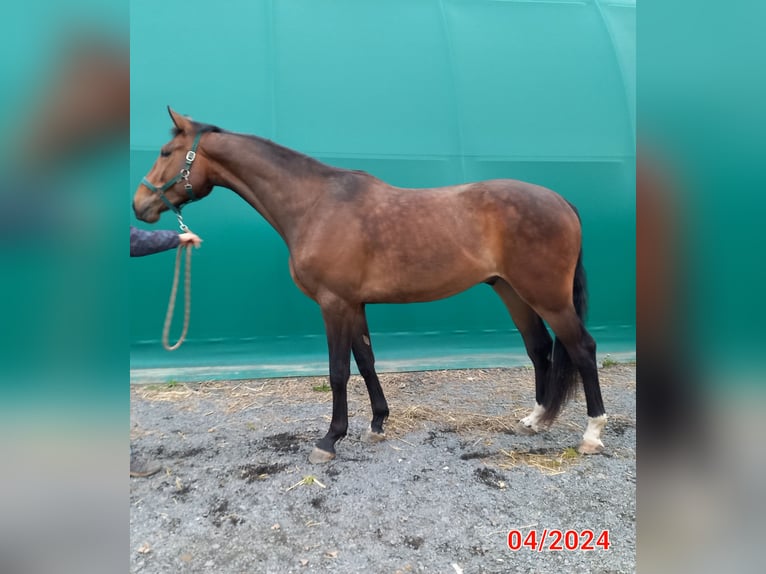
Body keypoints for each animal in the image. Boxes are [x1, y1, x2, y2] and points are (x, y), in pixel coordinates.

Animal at [134, 108, 612, 466]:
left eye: (165, 151)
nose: (140, 205)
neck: (315, 204)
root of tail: (560, 201)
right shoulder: (355, 304)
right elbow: (366, 361)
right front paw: (377, 424)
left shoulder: (333, 303)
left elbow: (338, 371)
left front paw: (329, 440)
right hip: (510, 290)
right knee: (539, 348)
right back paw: (536, 419)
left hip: (548, 297)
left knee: (581, 348)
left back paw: (591, 434)